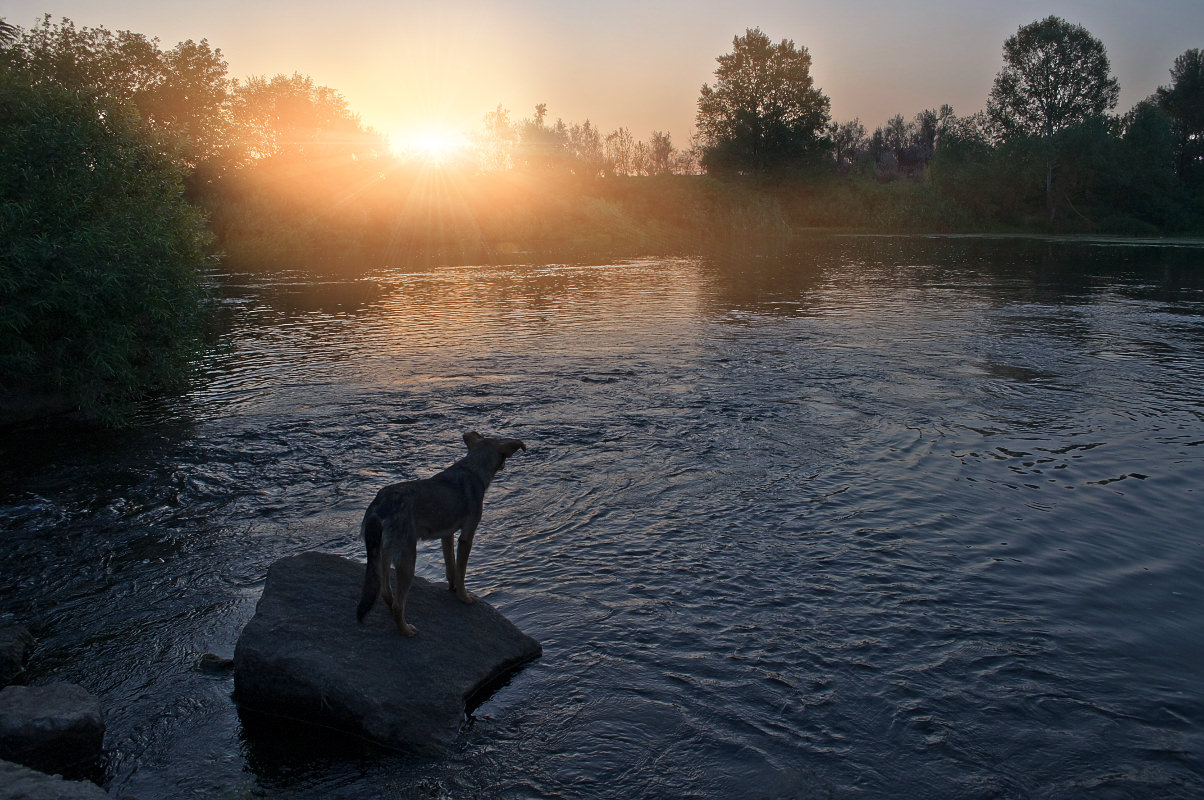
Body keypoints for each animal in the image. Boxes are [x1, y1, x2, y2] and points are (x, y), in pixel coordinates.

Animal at [356, 431, 527, 636]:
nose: (504, 465)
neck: (472, 469)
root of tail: (377, 507)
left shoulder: (447, 535)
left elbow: (450, 565)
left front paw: (452, 587)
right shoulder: (466, 536)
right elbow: (461, 571)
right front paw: (464, 597)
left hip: (384, 554)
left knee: (385, 592)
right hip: (407, 558)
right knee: (398, 604)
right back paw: (406, 630)